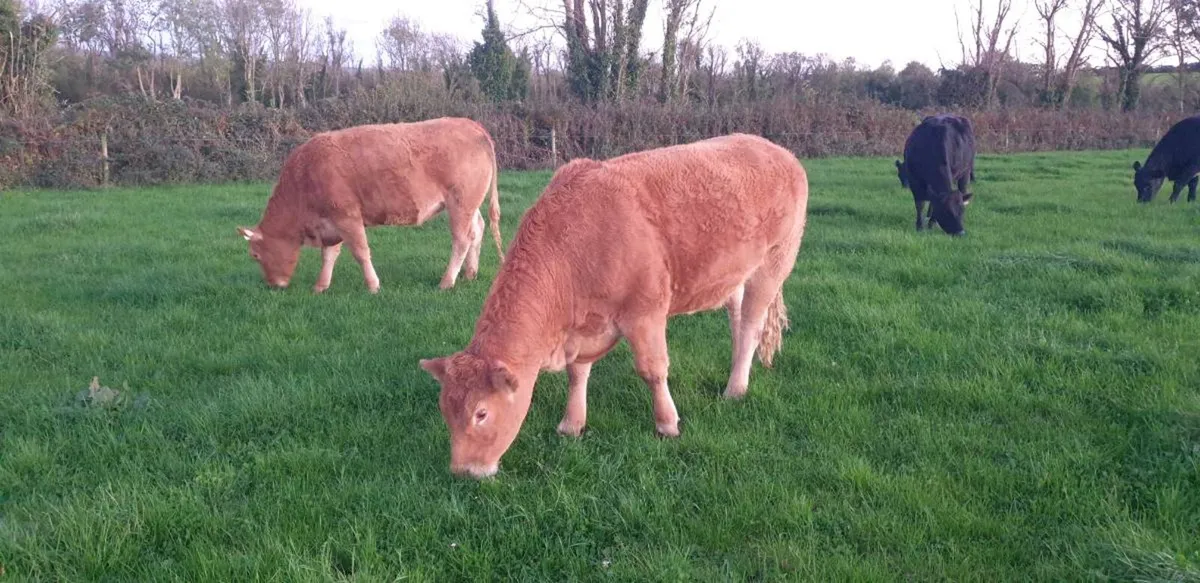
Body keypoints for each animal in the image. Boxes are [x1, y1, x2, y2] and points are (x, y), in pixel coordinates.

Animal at [236, 118, 504, 294]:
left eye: (255, 255)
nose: (273, 285)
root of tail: (468, 123)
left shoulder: (348, 216)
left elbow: (360, 251)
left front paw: (373, 285)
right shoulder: (332, 221)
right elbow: (329, 255)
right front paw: (321, 286)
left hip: (460, 203)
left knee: (462, 239)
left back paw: (447, 281)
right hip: (469, 205)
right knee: (477, 230)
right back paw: (469, 274)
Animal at [418, 133, 809, 479]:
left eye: (481, 414)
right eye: (444, 410)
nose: (463, 471)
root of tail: (776, 150)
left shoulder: (645, 312)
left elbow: (653, 370)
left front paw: (667, 423)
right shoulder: (583, 326)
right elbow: (578, 373)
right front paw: (572, 423)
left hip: (774, 263)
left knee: (751, 326)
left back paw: (735, 389)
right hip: (734, 275)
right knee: (738, 321)